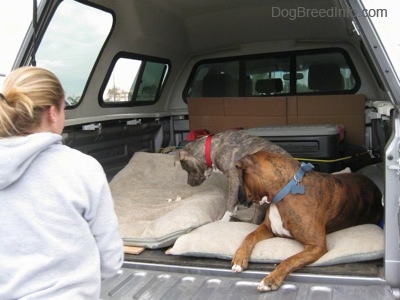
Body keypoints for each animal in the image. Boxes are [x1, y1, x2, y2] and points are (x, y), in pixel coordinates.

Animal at [231, 151, 384, 292]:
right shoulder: (268, 229)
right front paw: (239, 258)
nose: (238, 198)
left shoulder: (316, 246)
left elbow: (289, 260)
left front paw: (271, 280)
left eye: (242, 178)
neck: (284, 192)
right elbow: (250, 236)